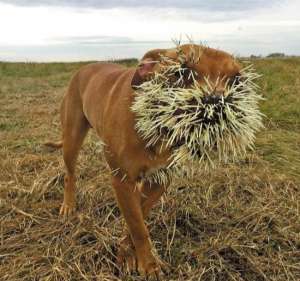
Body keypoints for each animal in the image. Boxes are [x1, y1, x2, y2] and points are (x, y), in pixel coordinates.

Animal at [47, 44, 241, 278]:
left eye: (236, 80)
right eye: (182, 72)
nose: (217, 104)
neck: (158, 126)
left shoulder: (159, 180)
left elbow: (138, 217)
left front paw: (128, 253)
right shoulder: (122, 180)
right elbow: (138, 226)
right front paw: (148, 264)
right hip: (72, 139)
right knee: (70, 174)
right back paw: (68, 205)